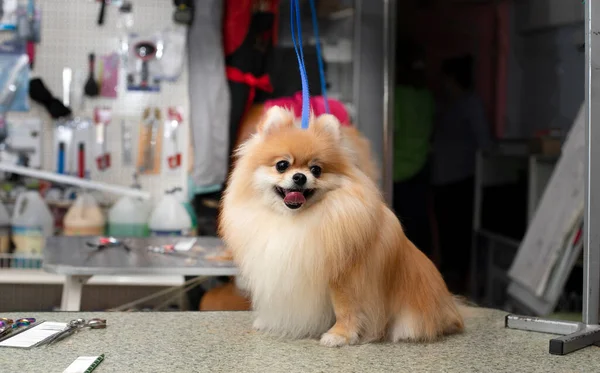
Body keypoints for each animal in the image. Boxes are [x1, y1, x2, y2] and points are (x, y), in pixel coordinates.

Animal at [219, 105, 464, 346]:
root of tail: (451, 309)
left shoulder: (344, 277)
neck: (296, 220)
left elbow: (346, 308)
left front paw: (340, 335)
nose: (299, 177)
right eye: (282, 165)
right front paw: (269, 321)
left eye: (316, 169)